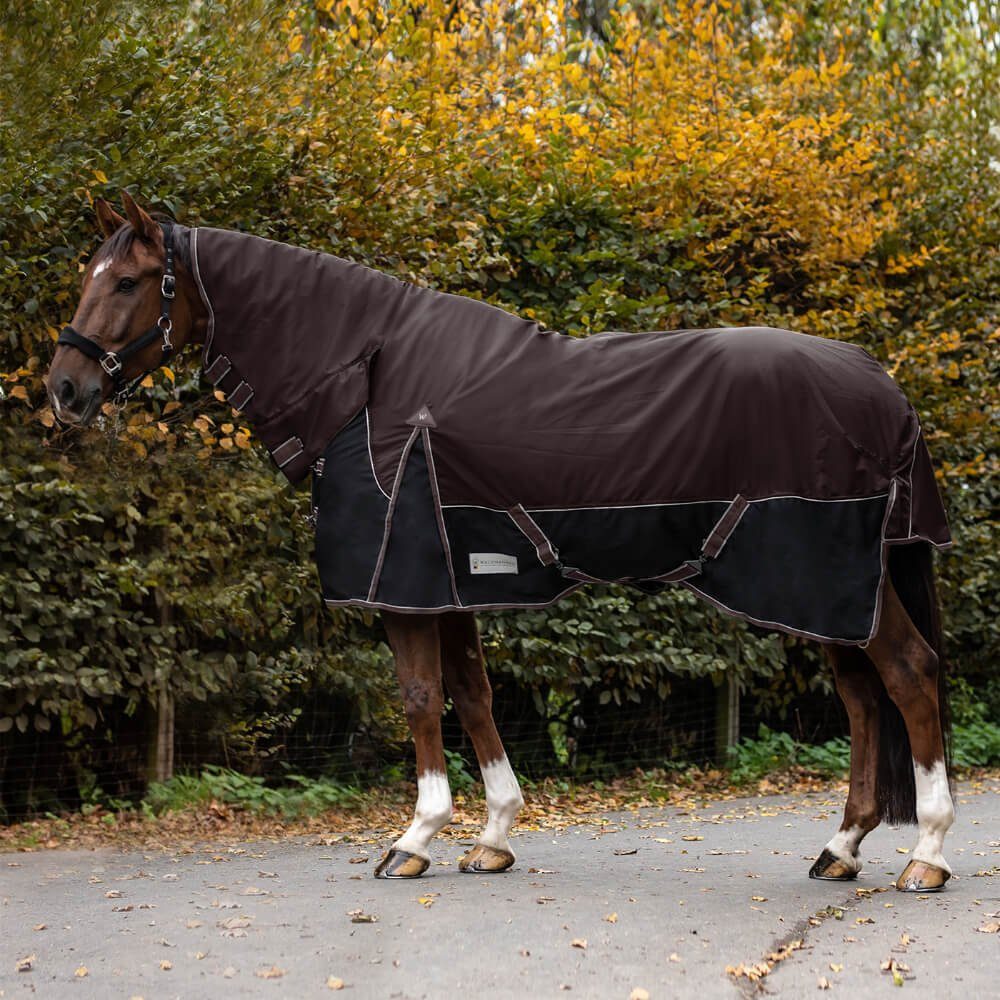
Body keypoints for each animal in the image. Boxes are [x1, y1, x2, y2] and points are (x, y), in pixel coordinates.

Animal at [45, 194, 956, 891]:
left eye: (127, 282)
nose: (65, 389)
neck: (367, 382)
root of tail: (884, 386)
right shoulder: (447, 583)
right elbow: (475, 694)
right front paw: (492, 837)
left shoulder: (404, 586)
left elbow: (420, 697)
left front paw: (415, 839)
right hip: (828, 593)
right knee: (863, 699)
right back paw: (842, 848)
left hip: (830, 583)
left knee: (909, 677)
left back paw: (928, 852)